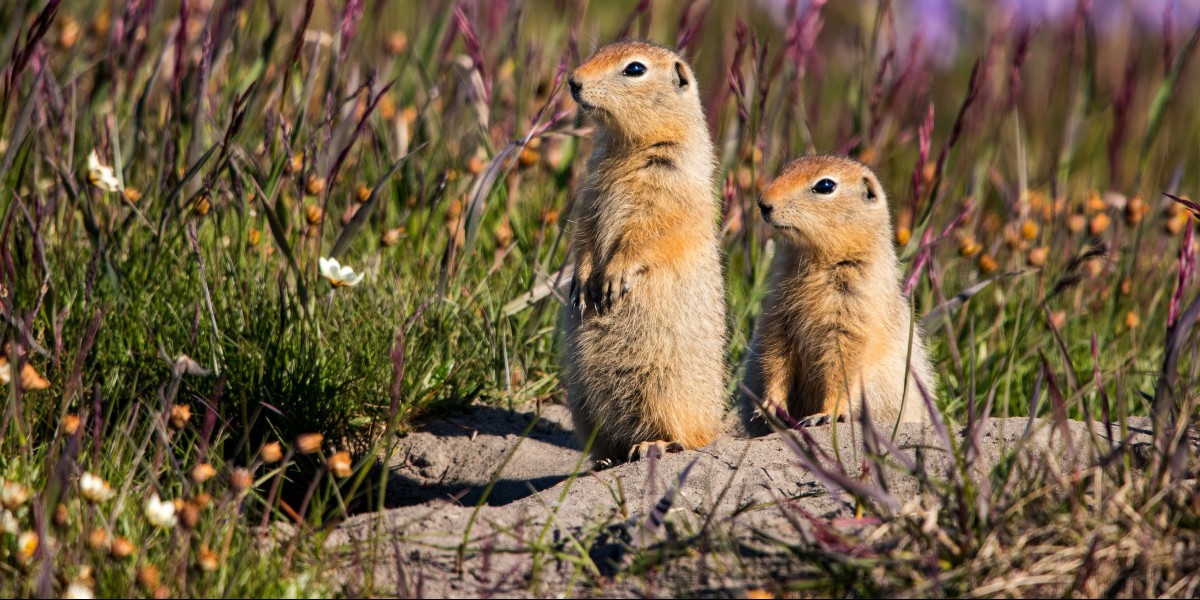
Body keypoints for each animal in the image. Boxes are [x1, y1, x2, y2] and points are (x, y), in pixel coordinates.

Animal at [556, 39, 724, 460]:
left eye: (634, 69)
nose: (573, 81)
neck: (626, 146)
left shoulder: (668, 187)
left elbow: (647, 233)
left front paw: (613, 278)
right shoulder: (590, 194)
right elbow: (585, 233)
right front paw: (582, 282)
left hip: (664, 389)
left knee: (683, 435)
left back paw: (655, 444)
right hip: (580, 403)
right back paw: (606, 457)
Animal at [739, 153, 936, 436]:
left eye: (825, 186)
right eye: (786, 168)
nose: (763, 204)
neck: (819, 261)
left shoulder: (853, 317)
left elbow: (842, 371)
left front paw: (825, 414)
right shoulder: (777, 314)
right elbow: (775, 356)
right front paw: (769, 405)